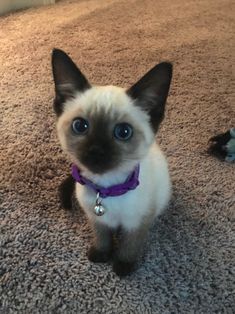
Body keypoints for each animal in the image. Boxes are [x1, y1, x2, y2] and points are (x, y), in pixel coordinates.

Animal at [51, 47, 173, 276]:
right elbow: (102, 238)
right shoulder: (96, 219)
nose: (96, 151)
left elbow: (129, 245)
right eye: (80, 126)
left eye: (123, 132)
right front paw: (100, 255)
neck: (106, 190)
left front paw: (123, 267)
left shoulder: (137, 224)